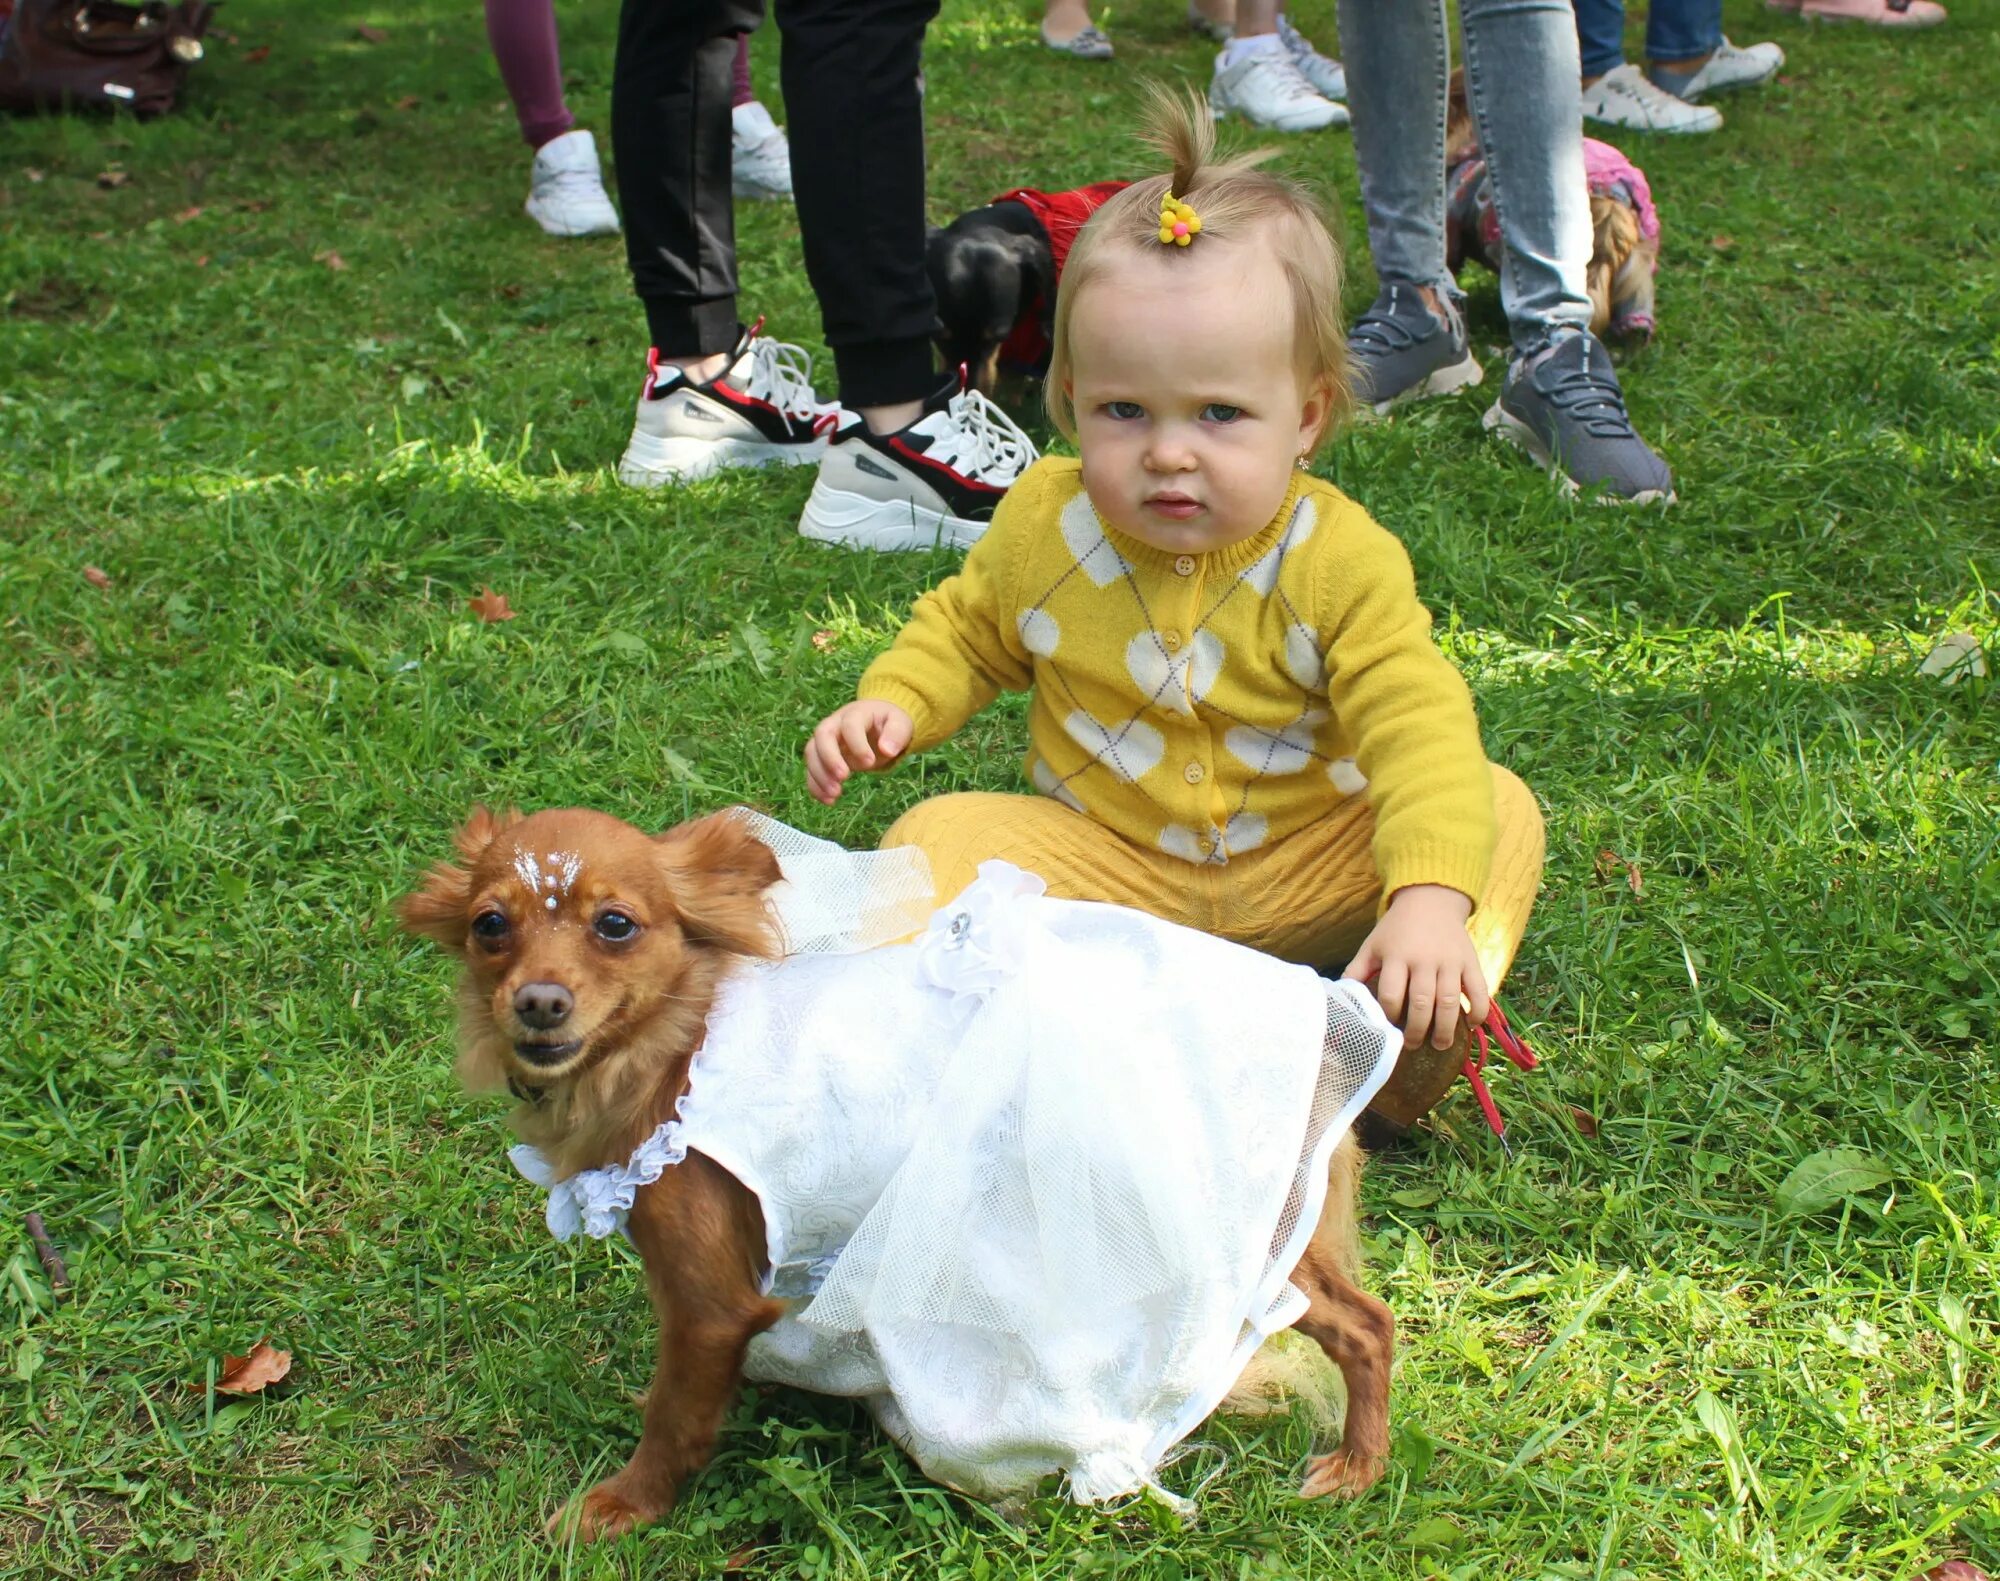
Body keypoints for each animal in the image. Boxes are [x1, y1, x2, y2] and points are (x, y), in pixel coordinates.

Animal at [402, 812, 1392, 1544]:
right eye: (491, 926)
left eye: (616, 925)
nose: (538, 1001)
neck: (679, 1051)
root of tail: (1337, 1016)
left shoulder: (707, 1296)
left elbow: (677, 1413)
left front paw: (624, 1503)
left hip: (1251, 1234)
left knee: (1368, 1324)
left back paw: (1358, 1467)